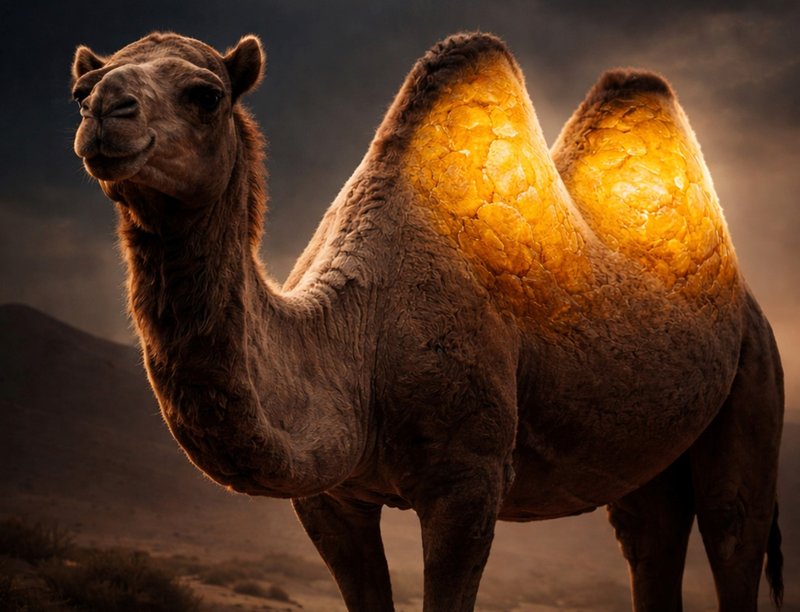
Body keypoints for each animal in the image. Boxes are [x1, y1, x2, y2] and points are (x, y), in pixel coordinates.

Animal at [71, 31, 784, 611]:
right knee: (650, 532)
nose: (105, 111)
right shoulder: (329, 499)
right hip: (644, 455)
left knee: (733, 525)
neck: (355, 347)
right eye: (78, 92)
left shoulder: (467, 480)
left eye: (206, 94)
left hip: (755, 375)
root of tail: (752, 308)